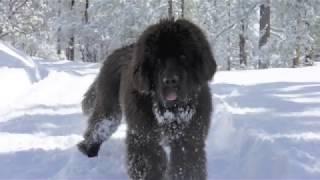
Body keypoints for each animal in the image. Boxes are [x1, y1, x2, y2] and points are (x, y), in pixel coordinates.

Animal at [78, 19, 218, 179]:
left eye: (183, 56)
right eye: (157, 60)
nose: (170, 80)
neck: (170, 111)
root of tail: (117, 51)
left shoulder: (188, 140)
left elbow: (184, 167)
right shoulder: (144, 139)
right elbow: (149, 166)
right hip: (109, 106)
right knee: (99, 126)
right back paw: (89, 149)